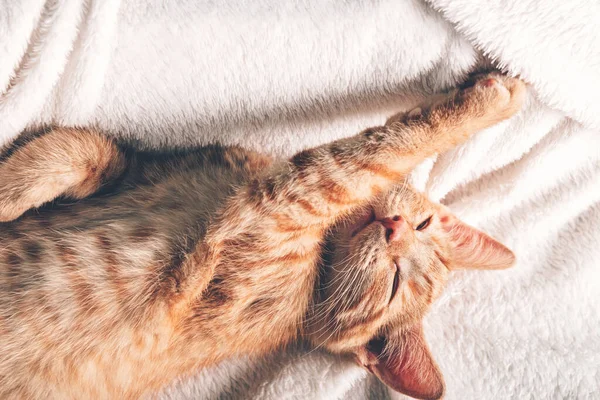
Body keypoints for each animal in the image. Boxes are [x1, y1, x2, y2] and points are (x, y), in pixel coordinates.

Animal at [0, 72, 524, 400]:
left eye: (394, 284)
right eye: (423, 226)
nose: (394, 228)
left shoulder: (276, 206)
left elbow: (374, 150)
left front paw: (491, 104)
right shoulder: (139, 170)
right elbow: (79, 147)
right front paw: (14, 189)